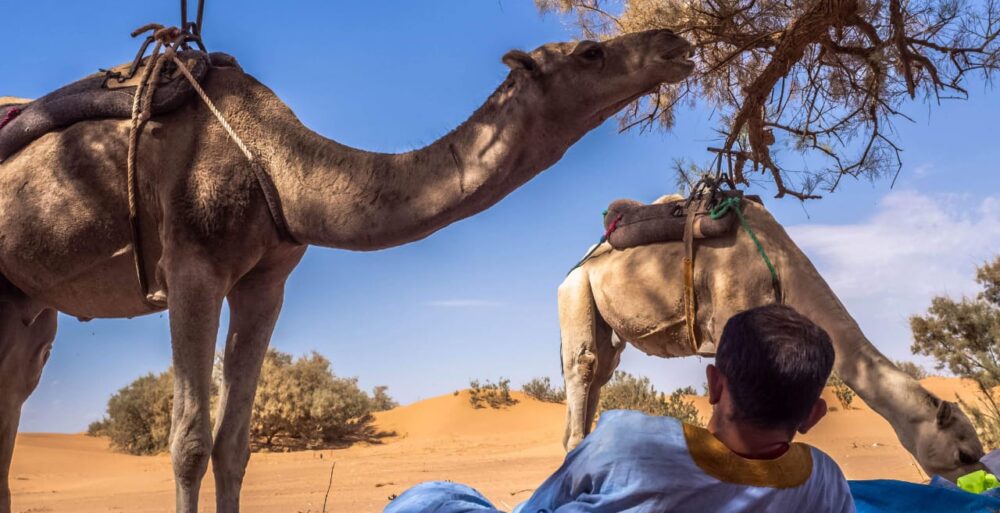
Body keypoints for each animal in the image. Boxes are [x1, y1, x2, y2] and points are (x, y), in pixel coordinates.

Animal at [0, 31, 700, 512]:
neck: (275, 160)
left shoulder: (265, 282)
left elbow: (234, 446)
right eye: (588, 52)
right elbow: (190, 443)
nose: (675, 42)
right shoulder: (192, 267)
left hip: (25, 300)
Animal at [560, 194, 988, 482]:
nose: (982, 483)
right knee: (584, 365)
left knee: (600, 373)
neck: (783, 268)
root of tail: (582, 260)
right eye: (965, 453)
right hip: (576, 291)